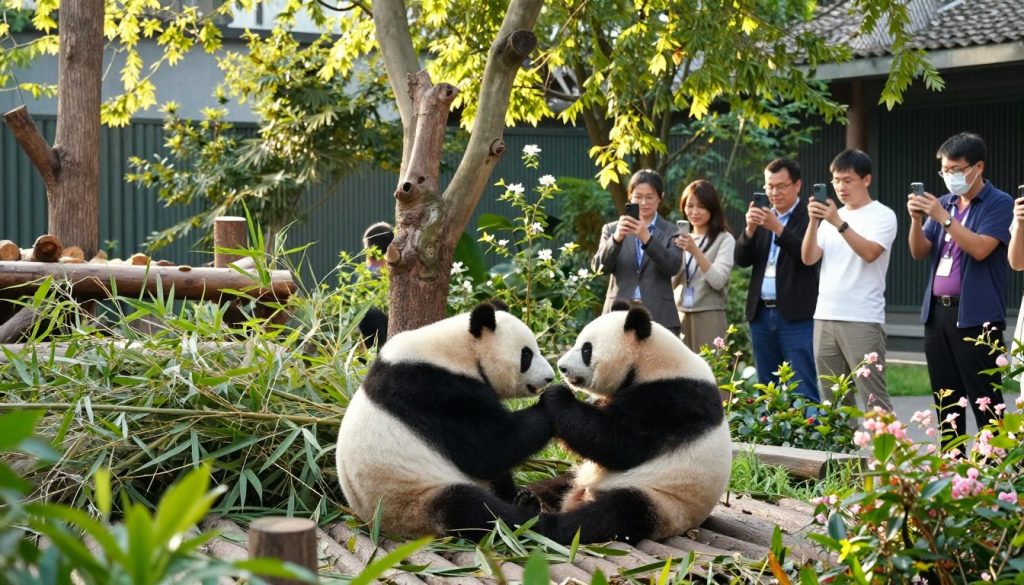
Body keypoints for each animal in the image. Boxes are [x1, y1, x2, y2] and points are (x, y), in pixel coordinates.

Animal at [335, 301, 555, 539]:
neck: (456, 351)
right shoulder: (436, 391)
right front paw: (555, 403)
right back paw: (528, 514)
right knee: (470, 508)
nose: (550, 377)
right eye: (526, 355)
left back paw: (523, 499)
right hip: (415, 500)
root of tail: (379, 526)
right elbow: (489, 450)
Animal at [530, 303, 732, 544]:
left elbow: (617, 444)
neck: (654, 362)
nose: (562, 367)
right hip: (582, 477)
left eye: (587, 349)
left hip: (662, 501)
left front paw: (556, 397)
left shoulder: (672, 403)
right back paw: (527, 496)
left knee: (614, 514)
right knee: (558, 483)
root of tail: (579, 497)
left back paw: (544, 523)